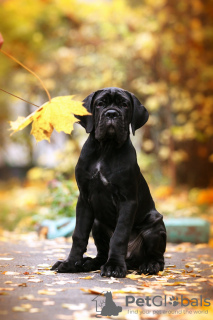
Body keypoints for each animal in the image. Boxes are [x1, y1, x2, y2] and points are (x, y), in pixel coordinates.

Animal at [51, 87, 166, 278]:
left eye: (125, 105)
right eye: (100, 104)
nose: (112, 113)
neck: (105, 149)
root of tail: (131, 260)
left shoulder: (128, 201)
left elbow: (119, 236)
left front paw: (114, 266)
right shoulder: (84, 199)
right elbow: (79, 235)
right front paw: (70, 263)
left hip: (154, 224)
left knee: (158, 257)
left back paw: (149, 265)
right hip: (98, 223)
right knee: (101, 254)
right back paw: (88, 263)